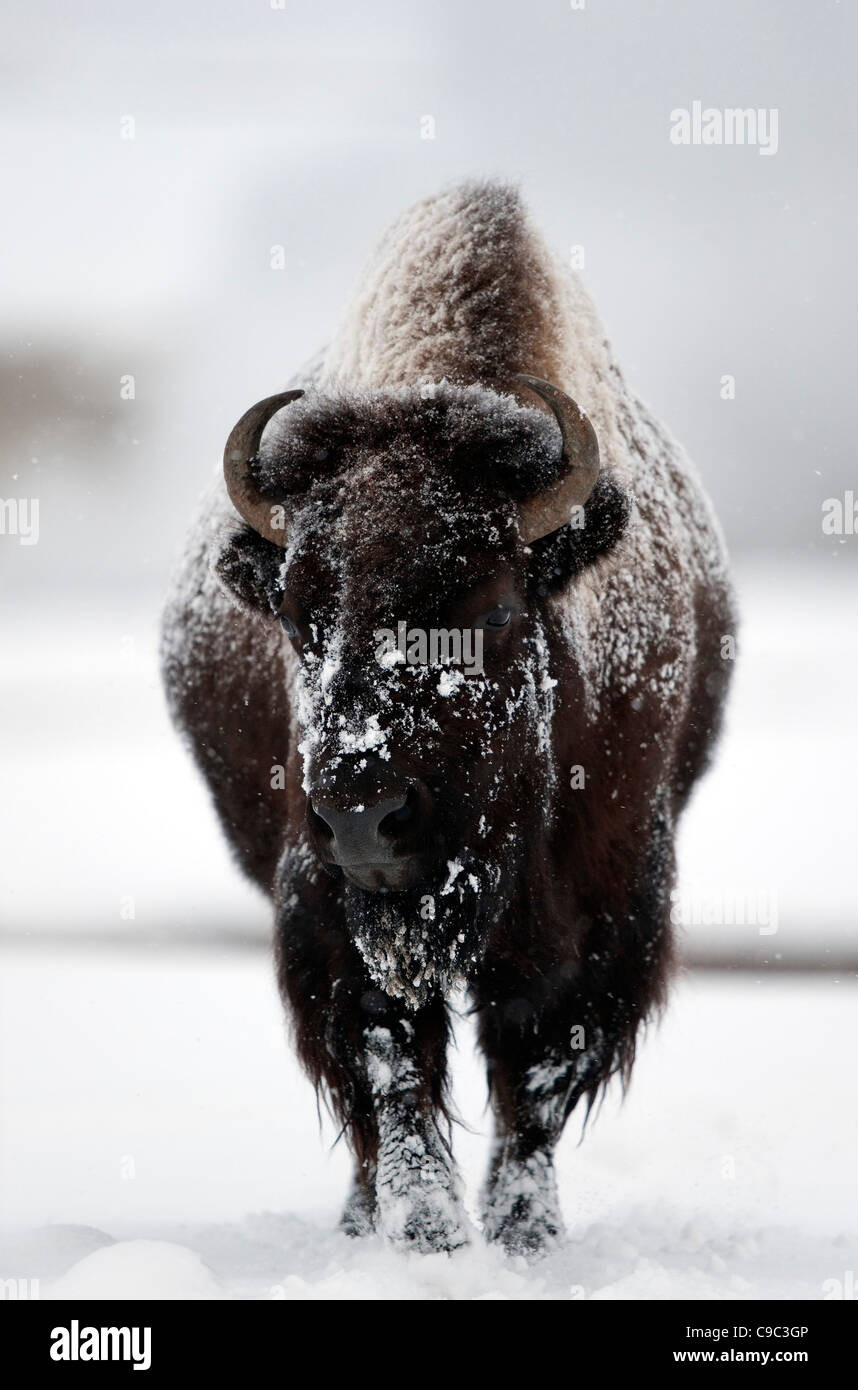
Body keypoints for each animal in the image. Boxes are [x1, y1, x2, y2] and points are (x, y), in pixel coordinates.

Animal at [162, 179, 734, 1256]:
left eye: (496, 608)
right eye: (297, 616)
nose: (364, 816)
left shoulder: (611, 898)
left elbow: (537, 1070)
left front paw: (524, 1235)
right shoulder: (329, 909)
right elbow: (391, 1064)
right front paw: (428, 1234)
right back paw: (360, 1222)